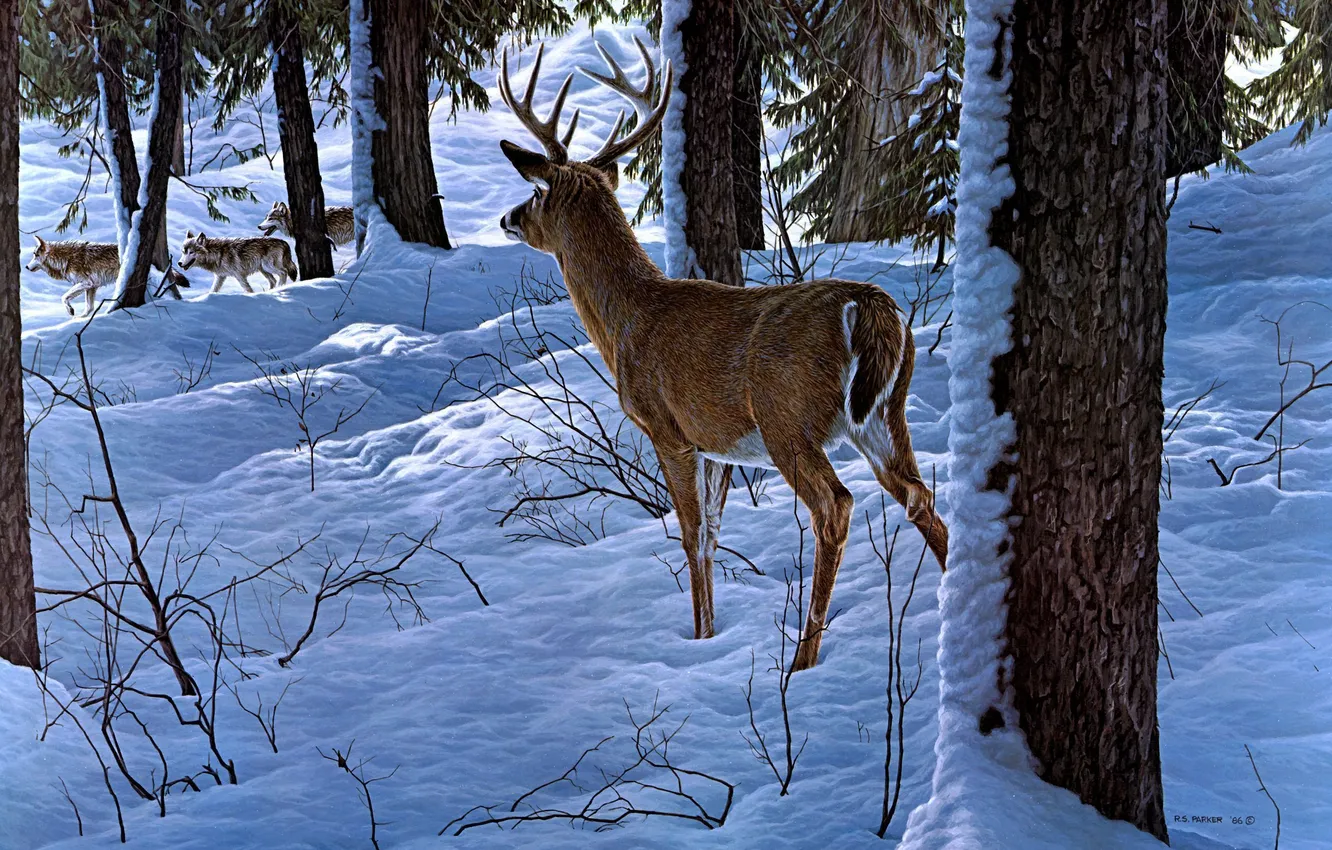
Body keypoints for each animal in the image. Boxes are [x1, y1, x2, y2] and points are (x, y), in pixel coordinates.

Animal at [498, 41, 948, 671]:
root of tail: (869, 306)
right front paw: (710, 637)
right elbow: (711, 535)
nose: (507, 217)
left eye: (537, 192)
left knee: (834, 507)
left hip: (788, 417)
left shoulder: (667, 426)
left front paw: (698, 638)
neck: (628, 319)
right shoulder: (716, 443)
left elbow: (690, 535)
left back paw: (802, 661)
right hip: (885, 413)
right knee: (918, 496)